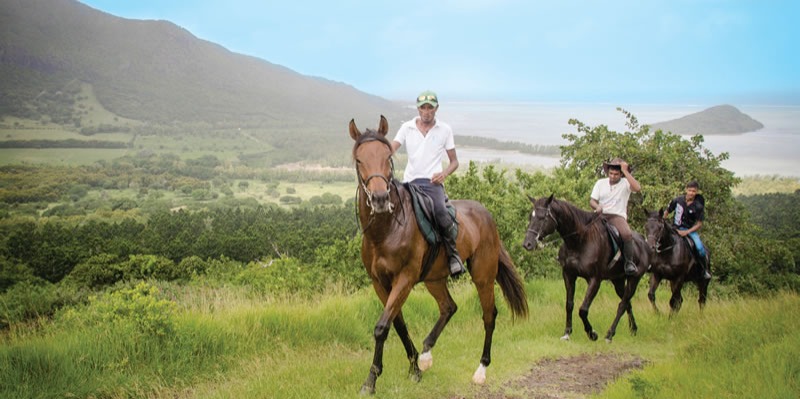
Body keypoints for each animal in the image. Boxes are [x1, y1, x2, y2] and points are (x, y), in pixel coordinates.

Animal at [352, 116, 528, 396]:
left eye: (388, 157)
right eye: (359, 160)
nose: (379, 199)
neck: (386, 230)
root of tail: (487, 215)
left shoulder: (405, 279)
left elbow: (381, 327)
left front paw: (371, 381)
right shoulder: (380, 283)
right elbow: (397, 324)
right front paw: (415, 368)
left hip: (483, 276)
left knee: (489, 316)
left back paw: (481, 370)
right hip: (435, 279)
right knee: (449, 307)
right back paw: (426, 355)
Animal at [524, 195, 648, 342]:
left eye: (542, 217)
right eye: (531, 217)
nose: (527, 244)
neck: (579, 241)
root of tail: (643, 241)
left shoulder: (594, 280)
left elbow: (583, 309)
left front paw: (592, 333)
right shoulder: (569, 275)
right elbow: (569, 304)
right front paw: (567, 333)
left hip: (634, 279)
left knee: (622, 305)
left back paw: (610, 334)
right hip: (617, 281)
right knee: (627, 303)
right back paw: (633, 329)